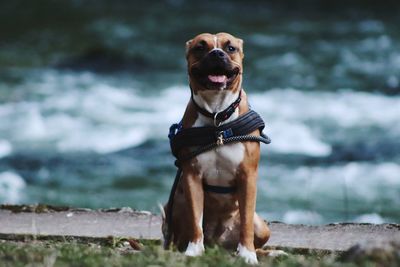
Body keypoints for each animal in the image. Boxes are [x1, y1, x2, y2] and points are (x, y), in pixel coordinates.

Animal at [161, 32, 276, 264]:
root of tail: (219, 243)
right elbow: (196, 219)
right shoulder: (192, 176)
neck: (217, 118)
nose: (216, 53)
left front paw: (248, 255)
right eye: (200, 47)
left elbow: (246, 223)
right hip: (173, 206)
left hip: (262, 227)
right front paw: (194, 251)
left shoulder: (248, 176)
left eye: (230, 48)